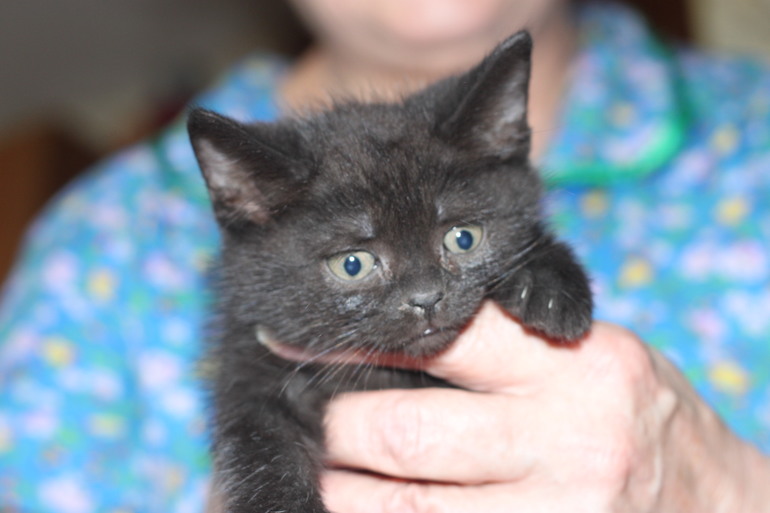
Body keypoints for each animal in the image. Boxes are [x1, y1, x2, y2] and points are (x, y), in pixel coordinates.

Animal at [188, 31, 592, 513]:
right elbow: (262, 447)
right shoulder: (250, 365)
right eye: (353, 264)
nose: (426, 298)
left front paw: (550, 283)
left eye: (463, 238)